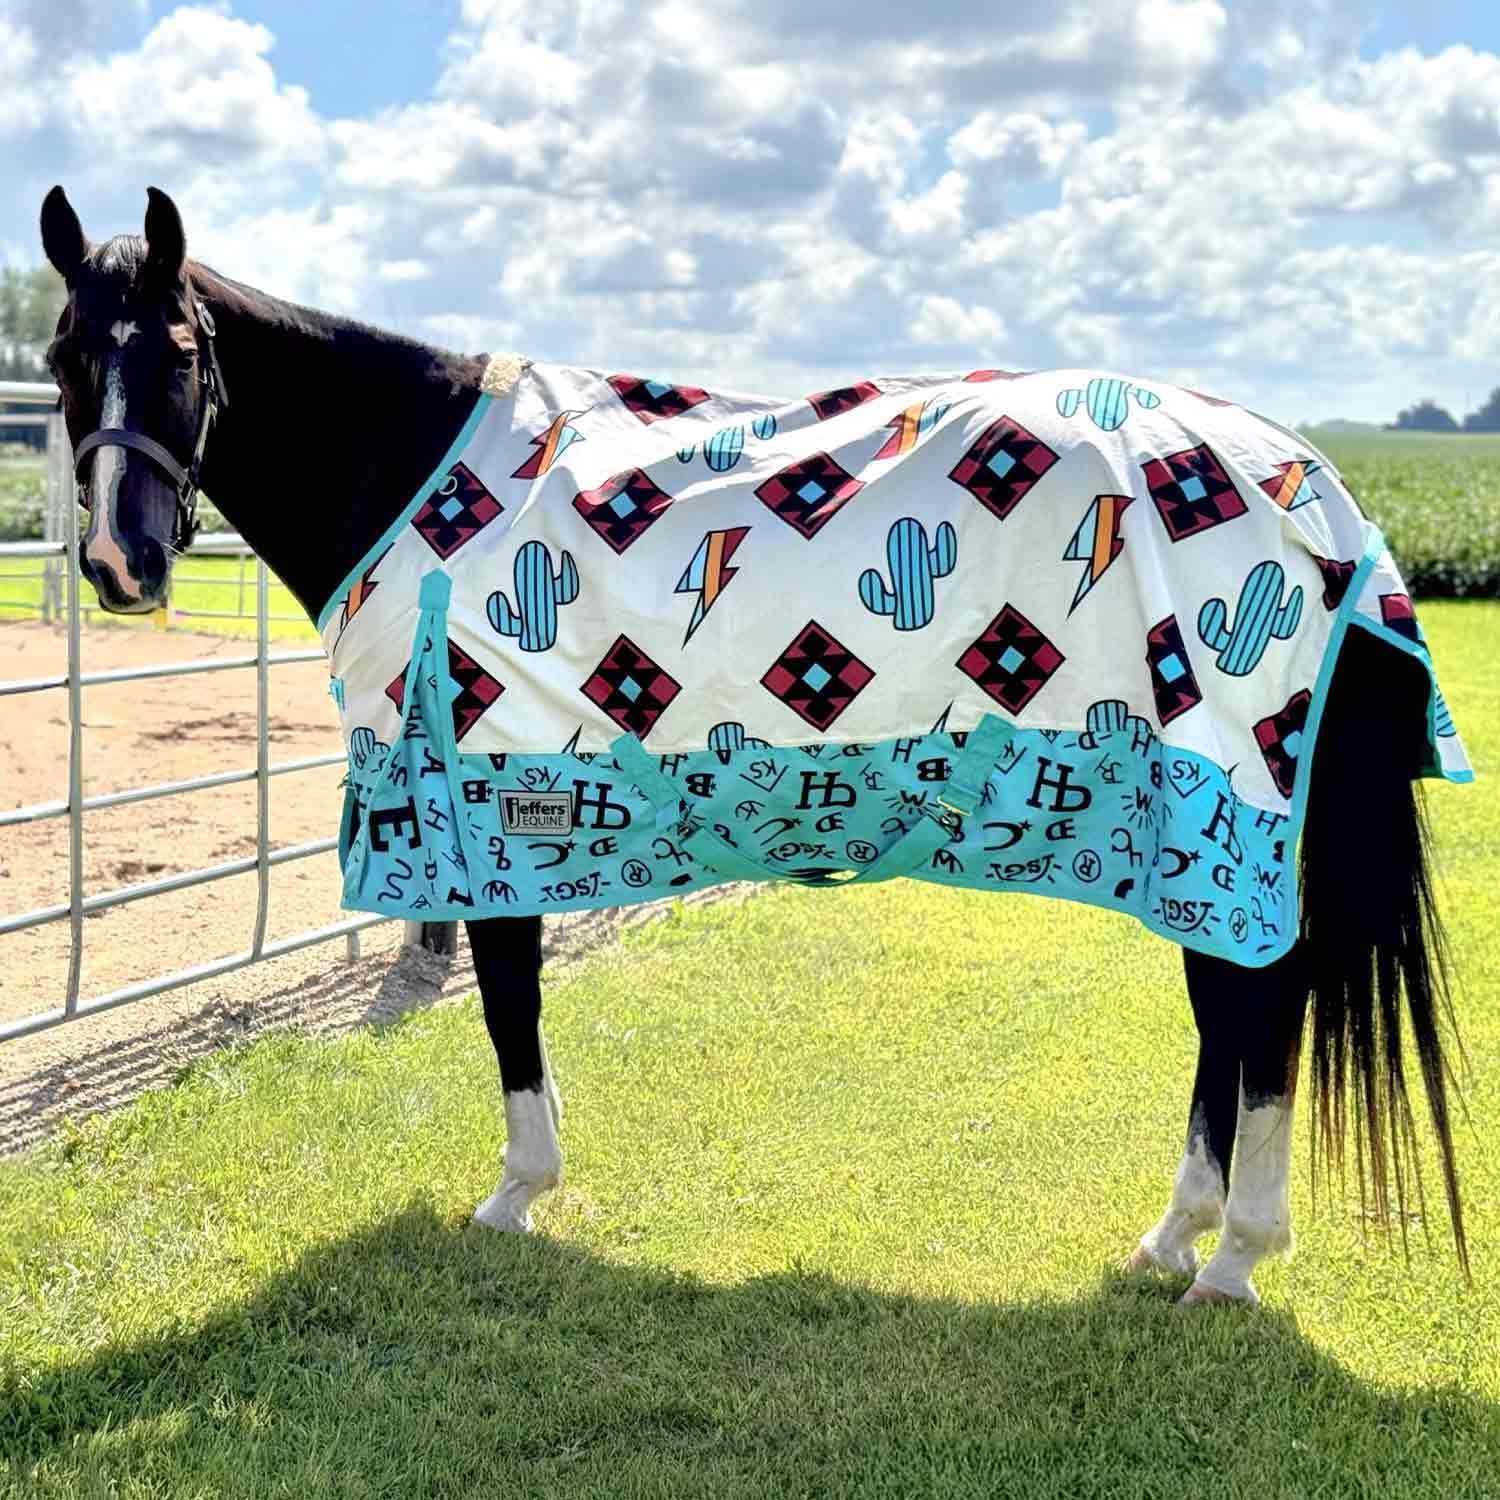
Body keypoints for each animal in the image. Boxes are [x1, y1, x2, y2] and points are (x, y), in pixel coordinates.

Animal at [39, 185, 1471, 1306]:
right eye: (60, 358)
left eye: (180, 350)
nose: (120, 562)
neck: (415, 474)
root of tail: (1316, 495)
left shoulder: (493, 810)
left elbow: (508, 1000)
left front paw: (518, 1192)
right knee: (1229, 1019)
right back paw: (1175, 1236)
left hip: (1221, 812)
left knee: (1257, 1013)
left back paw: (1231, 1258)